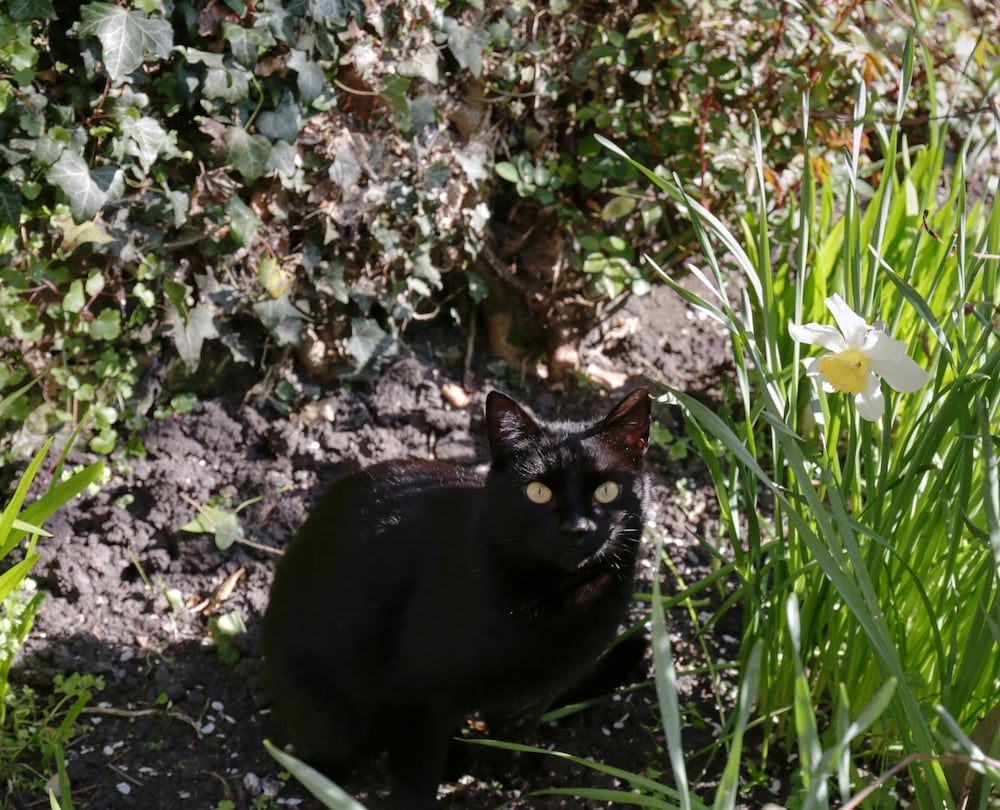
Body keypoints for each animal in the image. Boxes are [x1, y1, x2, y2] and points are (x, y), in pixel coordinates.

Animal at [260, 388, 648, 804]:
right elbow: (416, 781)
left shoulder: (534, 692)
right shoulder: (413, 696)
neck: (558, 600)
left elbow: (513, 731)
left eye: (606, 490)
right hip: (329, 716)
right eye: (538, 491)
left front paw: (512, 768)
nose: (577, 528)